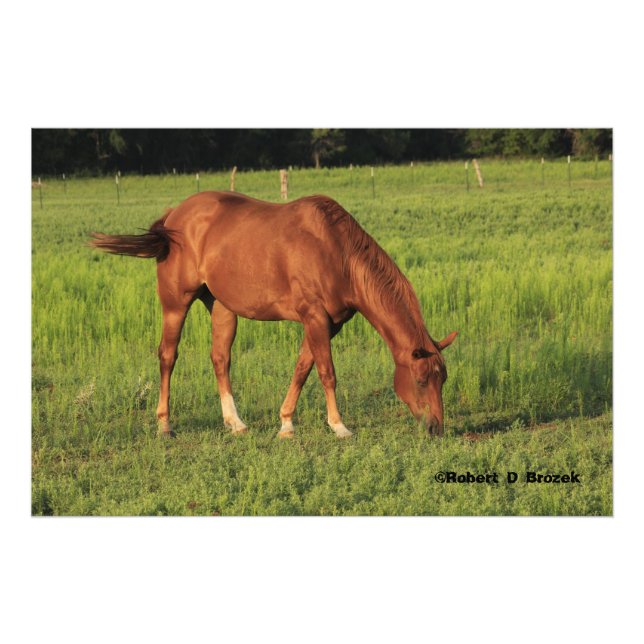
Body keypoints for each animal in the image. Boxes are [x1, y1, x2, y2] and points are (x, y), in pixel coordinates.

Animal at [90, 191, 457, 438]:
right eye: (421, 380)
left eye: (443, 379)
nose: (436, 428)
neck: (337, 251)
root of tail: (172, 218)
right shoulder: (314, 317)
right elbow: (327, 372)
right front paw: (339, 426)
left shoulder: (327, 324)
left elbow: (302, 369)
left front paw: (286, 423)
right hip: (176, 303)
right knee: (168, 356)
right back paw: (165, 424)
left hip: (222, 306)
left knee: (220, 359)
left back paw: (235, 423)